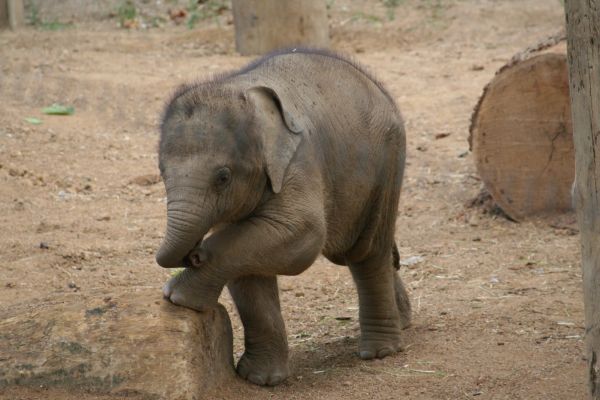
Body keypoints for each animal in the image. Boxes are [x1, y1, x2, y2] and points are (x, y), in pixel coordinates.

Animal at [155, 48, 410, 386]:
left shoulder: (299, 160)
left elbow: (303, 234)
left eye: (223, 177)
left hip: (388, 162)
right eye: (161, 172)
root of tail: (375, 84)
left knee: (365, 253)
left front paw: (176, 296)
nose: (194, 254)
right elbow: (246, 265)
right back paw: (404, 322)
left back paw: (380, 352)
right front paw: (260, 380)